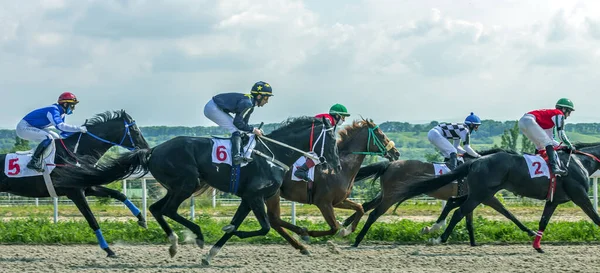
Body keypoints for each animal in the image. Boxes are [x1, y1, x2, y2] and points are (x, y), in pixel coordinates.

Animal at [0, 109, 149, 256]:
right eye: (135, 130)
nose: (146, 148)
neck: (75, 154)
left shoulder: (87, 186)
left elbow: (119, 194)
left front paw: (141, 219)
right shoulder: (75, 192)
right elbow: (92, 220)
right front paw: (108, 249)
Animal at [53, 115, 340, 264]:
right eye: (332, 139)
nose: (335, 163)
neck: (273, 154)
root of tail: (153, 150)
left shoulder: (248, 197)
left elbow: (243, 224)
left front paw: (212, 253)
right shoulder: (255, 196)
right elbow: (263, 227)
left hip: (178, 185)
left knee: (157, 208)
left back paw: (174, 242)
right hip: (186, 183)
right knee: (167, 209)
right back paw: (196, 235)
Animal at [266, 118, 398, 254]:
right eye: (381, 135)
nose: (396, 153)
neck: (341, 168)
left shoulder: (338, 201)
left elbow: (360, 208)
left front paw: (346, 230)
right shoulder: (323, 203)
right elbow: (334, 227)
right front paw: (311, 232)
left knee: (274, 221)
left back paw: (301, 245)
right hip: (273, 194)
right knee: (274, 219)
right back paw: (302, 237)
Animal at [342, 149, 536, 246]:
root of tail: (389, 164)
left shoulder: (473, 196)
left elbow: (467, 219)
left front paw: (472, 243)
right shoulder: (485, 196)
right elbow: (508, 213)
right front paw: (531, 232)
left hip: (386, 194)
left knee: (366, 205)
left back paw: (346, 227)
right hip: (392, 196)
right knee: (374, 213)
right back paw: (356, 239)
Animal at [398, 143, 600, 252]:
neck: (582, 162)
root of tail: (475, 162)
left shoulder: (553, 200)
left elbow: (543, 221)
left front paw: (537, 245)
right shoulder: (580, 196)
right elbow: (596, 218)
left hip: (481, 194)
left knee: (455, 206)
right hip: (480, 194)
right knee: (459, 212)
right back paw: (439, 238)